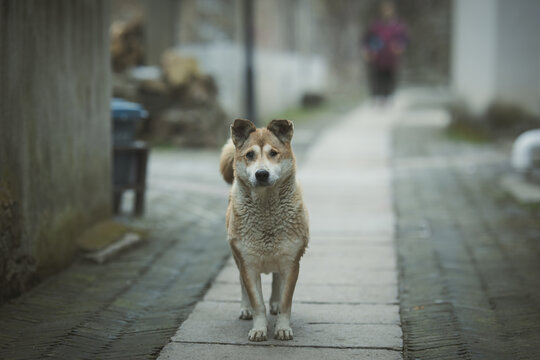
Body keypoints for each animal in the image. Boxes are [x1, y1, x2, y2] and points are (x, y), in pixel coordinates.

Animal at [219, 119, 310, 342]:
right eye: (249, 155)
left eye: (273, 153)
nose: (261, 174)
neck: (266, 211)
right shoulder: (248, 264)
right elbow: (257, 302)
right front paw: (259, 329)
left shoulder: (291, 262)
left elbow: (286, 300)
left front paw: (283, 328)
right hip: (237, 256)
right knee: (241, 283)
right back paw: (245, 309)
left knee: (276, 280)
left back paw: (274, 304)